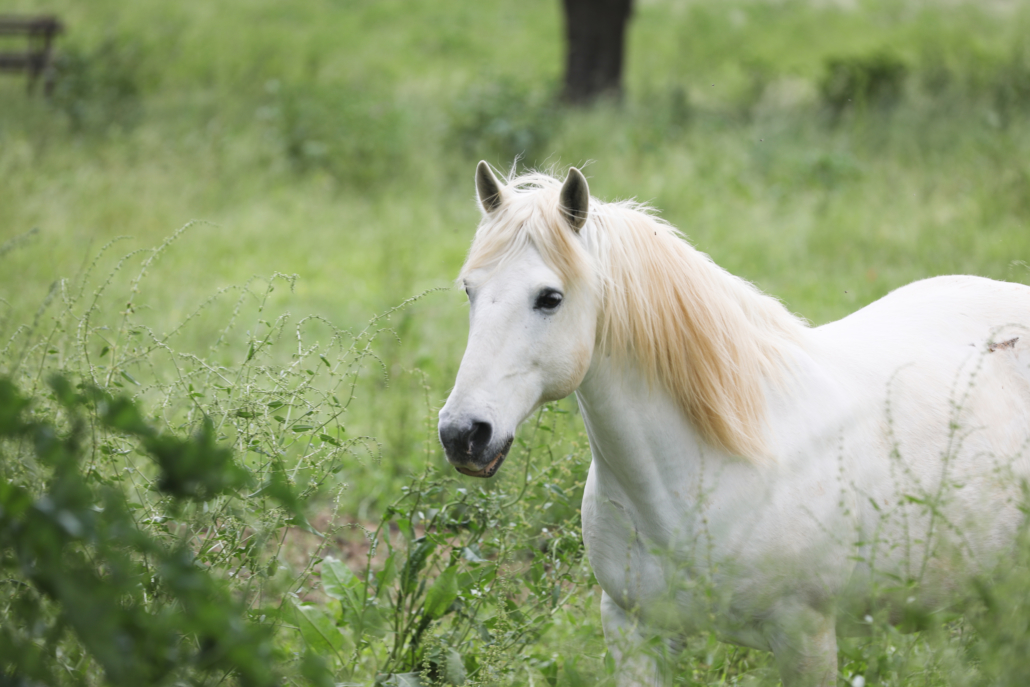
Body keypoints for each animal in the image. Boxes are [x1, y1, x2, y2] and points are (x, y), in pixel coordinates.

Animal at [436, 163, 1030, 683]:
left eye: (550, 298)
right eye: (469, 290)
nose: (463, 434)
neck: (700, 478)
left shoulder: (806, 638)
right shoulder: (634, 632)